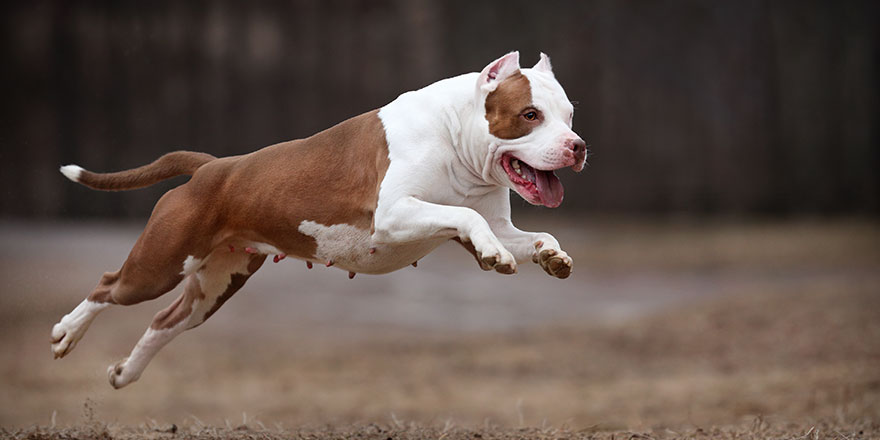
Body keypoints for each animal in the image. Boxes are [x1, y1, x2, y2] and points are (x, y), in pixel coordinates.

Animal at [53, 52, 592, 388]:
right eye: (529, 115)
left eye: (568, 114)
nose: (578, 146)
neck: (455, 135)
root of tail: (212, 167)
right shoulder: (394, 214)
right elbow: (462, 216)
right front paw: (495, 255)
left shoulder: (489, 220)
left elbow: (528, 232)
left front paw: (551, 255)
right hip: (160, 263)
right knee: (108, 285)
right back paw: (66, 333)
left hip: (214, 284)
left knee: (165, 321)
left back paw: (126, 373)